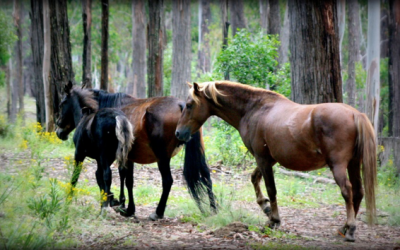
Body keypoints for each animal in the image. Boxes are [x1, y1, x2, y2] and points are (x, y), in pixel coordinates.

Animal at [55, 81, 216, 220]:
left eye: (62, 103)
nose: (58, 130)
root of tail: (181, 104)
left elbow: (121, 179)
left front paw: (121, 205)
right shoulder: (126, 158)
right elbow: (127, 180)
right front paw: (125, 206)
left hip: (162, 157)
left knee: (167, 180)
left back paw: (158, 212)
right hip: (198, 153)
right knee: (206, 176)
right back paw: (213, 208)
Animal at [174, 81, 376, 241]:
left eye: (190, 105)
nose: (178, 133)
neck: (255, 109)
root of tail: (355, 114)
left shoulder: (262, 159)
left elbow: (271, 189)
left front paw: (274, 220)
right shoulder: (268, 160)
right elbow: (254, 178)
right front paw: (266, 209)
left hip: (338, 165)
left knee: (347, 191)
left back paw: (350, 229)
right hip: (353, 164)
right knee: (358, 192)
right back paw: (344, 227)